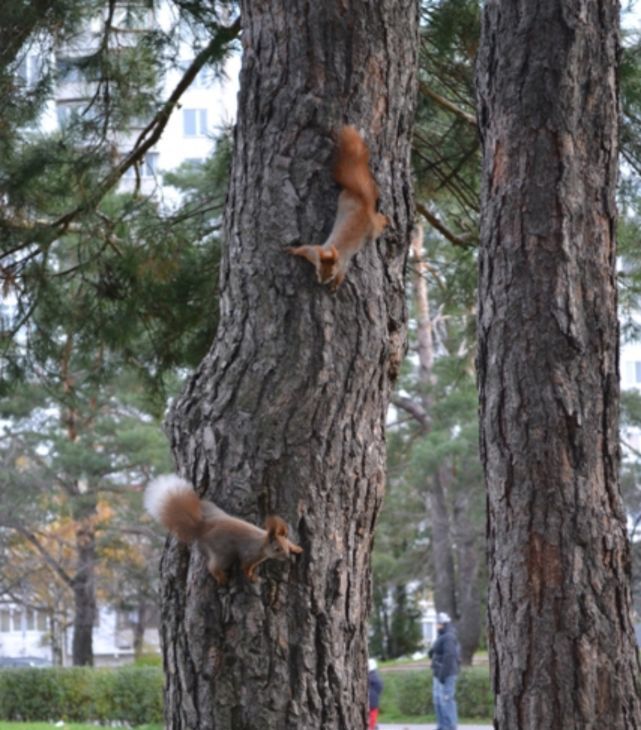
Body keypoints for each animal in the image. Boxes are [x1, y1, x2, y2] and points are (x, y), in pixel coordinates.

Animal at [144, 474, 303, 584]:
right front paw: (251, 576)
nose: (287, 557)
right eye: (277, 549)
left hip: (212, 509)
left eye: (285, 546)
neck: (262, 543)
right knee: (212, 566)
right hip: (224, 553)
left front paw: (297, 548)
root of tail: (202, 527)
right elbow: (245, 566)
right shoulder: (249, 554)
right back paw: (221, 577)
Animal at [288, 125, 389, 291]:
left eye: (331, 274)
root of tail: (364, 202)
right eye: (318, 270)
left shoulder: (341, 264)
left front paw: (335, 285)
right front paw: (293, 250)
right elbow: (305, 249)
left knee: (378, 224)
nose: (321, 282)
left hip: (371, 229)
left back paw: (385, 220)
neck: (330, 252)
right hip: (345, 199)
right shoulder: (315, 252)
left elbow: (342, 274)